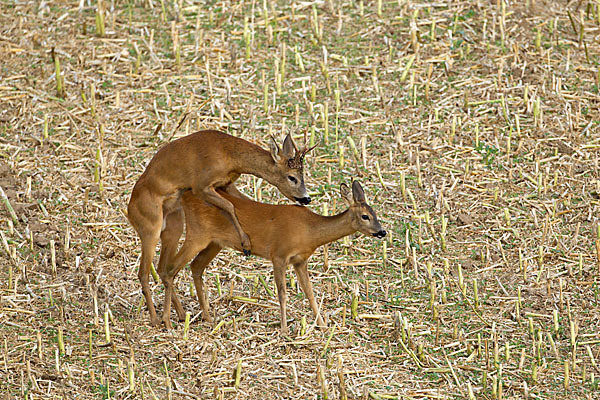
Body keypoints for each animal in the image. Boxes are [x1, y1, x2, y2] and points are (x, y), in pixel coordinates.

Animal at [125, 131, 316, 324]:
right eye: (292, 177)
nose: (306, 198)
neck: (230, 156)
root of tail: (129, 210)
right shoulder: (201, 185)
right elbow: (230, 206)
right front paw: (246, 244)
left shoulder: (225, 184)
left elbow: (243, 202)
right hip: (150, 226)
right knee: (144, 272)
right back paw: (157, 319)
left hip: (174, 225)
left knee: (162, 269)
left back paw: (180, 315)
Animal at [157, 180, 386, 332]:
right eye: (365, 216)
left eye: (376, 214)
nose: (382, 232)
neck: (310, 231)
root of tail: (185, 195)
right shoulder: (279, 254)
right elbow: (282, 293)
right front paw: (284, 329)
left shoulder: (300, 260)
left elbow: (310, 292)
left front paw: (322, 325)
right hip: (198, 234)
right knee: (169, 269)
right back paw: (169, 320)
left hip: (215, 242)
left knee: (195, 267)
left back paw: (206, 317)